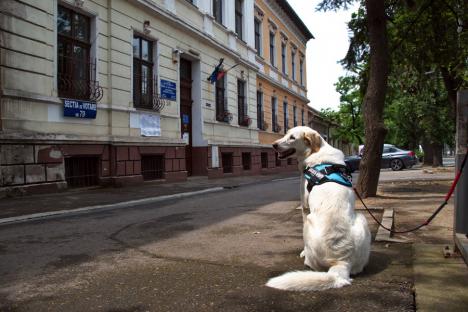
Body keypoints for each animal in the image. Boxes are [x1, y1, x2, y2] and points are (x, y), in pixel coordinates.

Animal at [266, 125, 370, 292]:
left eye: (292, 138)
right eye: (286, 133)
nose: (273, 145)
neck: (316, 152)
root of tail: (342, 261)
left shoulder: (304, 206)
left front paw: (302, 251)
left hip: (310, 222)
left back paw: (306, 258)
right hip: (362, 219)